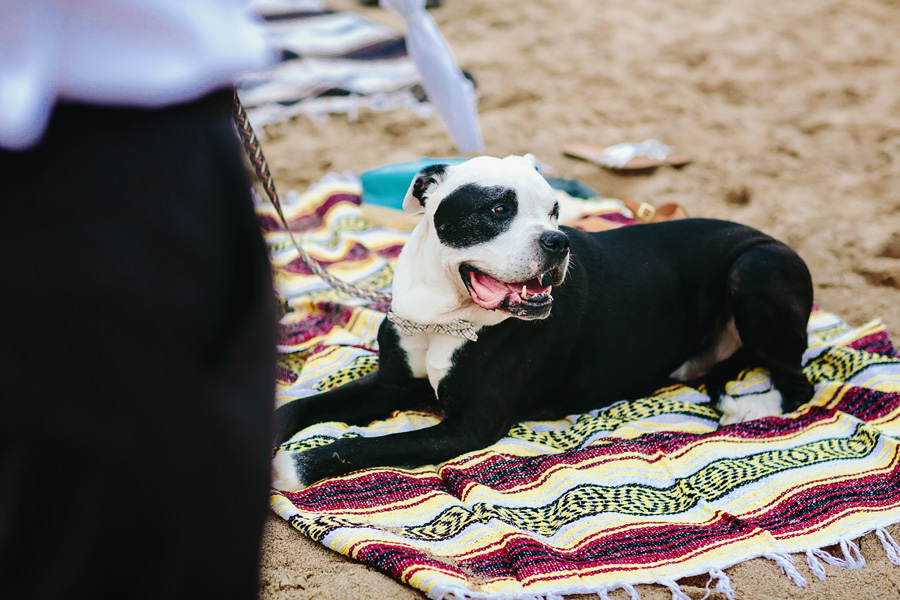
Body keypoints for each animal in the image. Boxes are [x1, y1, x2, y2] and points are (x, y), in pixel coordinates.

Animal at [270, 156, 812, 492]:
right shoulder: (390, 386)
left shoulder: (468, 426)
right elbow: (307, 405)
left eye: (555, 210)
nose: (558, 241)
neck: (442, 317)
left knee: (798, 383)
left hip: (755, 268)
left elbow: (362, 445)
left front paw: (294, 464)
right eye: (497, 209)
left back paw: (753, 407)